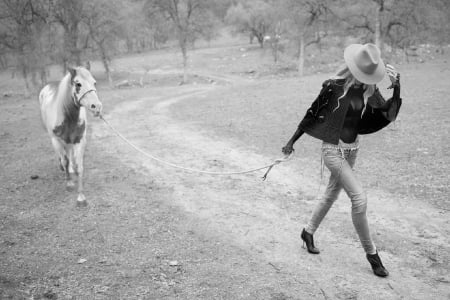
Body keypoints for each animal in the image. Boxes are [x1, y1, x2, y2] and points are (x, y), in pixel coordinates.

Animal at [39, 65, 103, 206]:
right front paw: (69, 183)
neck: (67, 117)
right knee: (63, 156)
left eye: (94, 83)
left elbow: (79, 166)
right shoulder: (57, 140)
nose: (97, 107)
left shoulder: (80, 140)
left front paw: (81, 197)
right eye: (78, 84)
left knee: (69, 152)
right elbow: (65, 160)